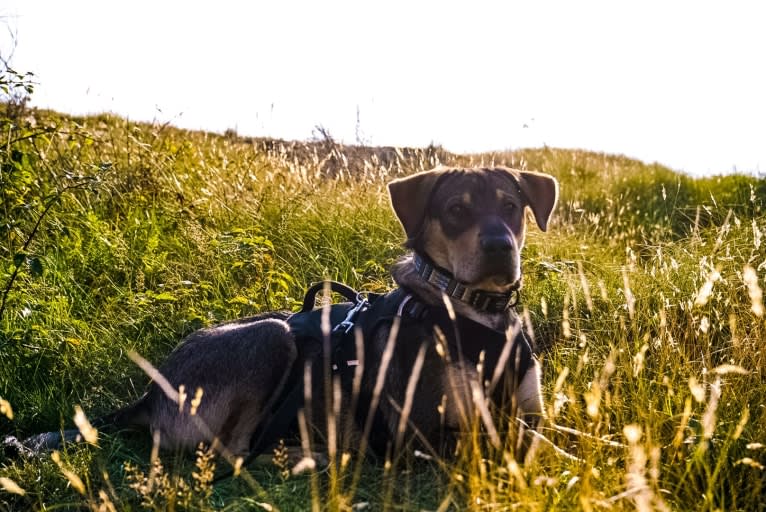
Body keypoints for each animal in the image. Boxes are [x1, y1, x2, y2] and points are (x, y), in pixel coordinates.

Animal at [12, 166, 560, 462]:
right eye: (455, 211)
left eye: (511, 206)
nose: (499, 248)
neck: (475, 314)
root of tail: (148, 395)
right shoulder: (427, 433)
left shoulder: (529, 414)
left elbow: (557, 437)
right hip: (272, 335)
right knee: (233, 450)